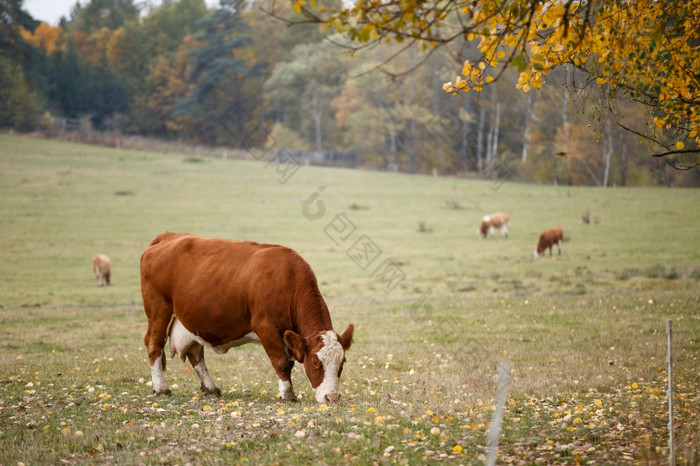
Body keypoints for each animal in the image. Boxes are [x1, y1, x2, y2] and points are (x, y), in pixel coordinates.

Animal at [139, 233, 356, 404]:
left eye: (342, 363)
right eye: (315, 363)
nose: (332, 397)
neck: (288, 279)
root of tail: (168, 236)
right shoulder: (266, 327)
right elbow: (282, 363)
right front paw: (287, 395)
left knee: (196, 354)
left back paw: (211, 388)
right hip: (159, 312)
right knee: (154, 346)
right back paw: (161, 389)